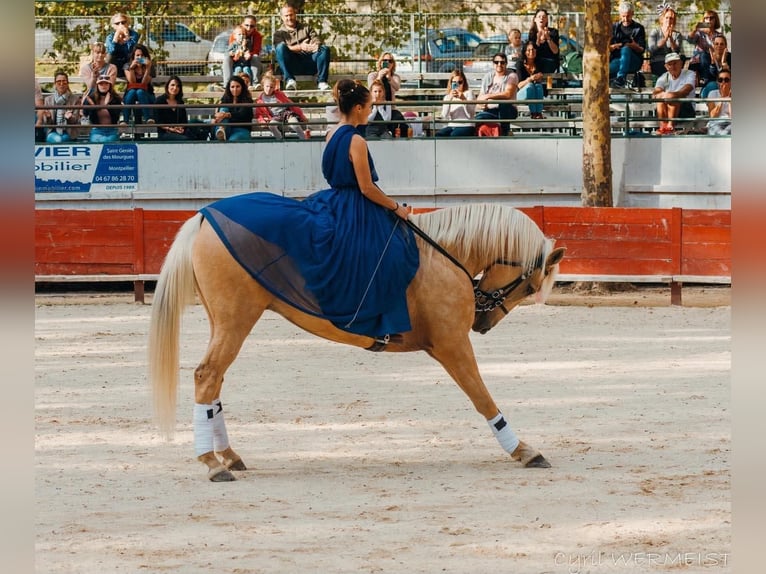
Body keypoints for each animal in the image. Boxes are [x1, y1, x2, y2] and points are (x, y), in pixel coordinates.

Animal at [148, 203, 565, 481]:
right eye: (530, 287)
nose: (483, 322)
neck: (443, 256)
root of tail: (206, 216)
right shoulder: (452, 345)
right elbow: (482, 397)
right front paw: (524, 450)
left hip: (224, 323)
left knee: (215, 380)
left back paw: (229, 456)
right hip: (235, 321)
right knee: (207, 376)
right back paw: (212, 462)